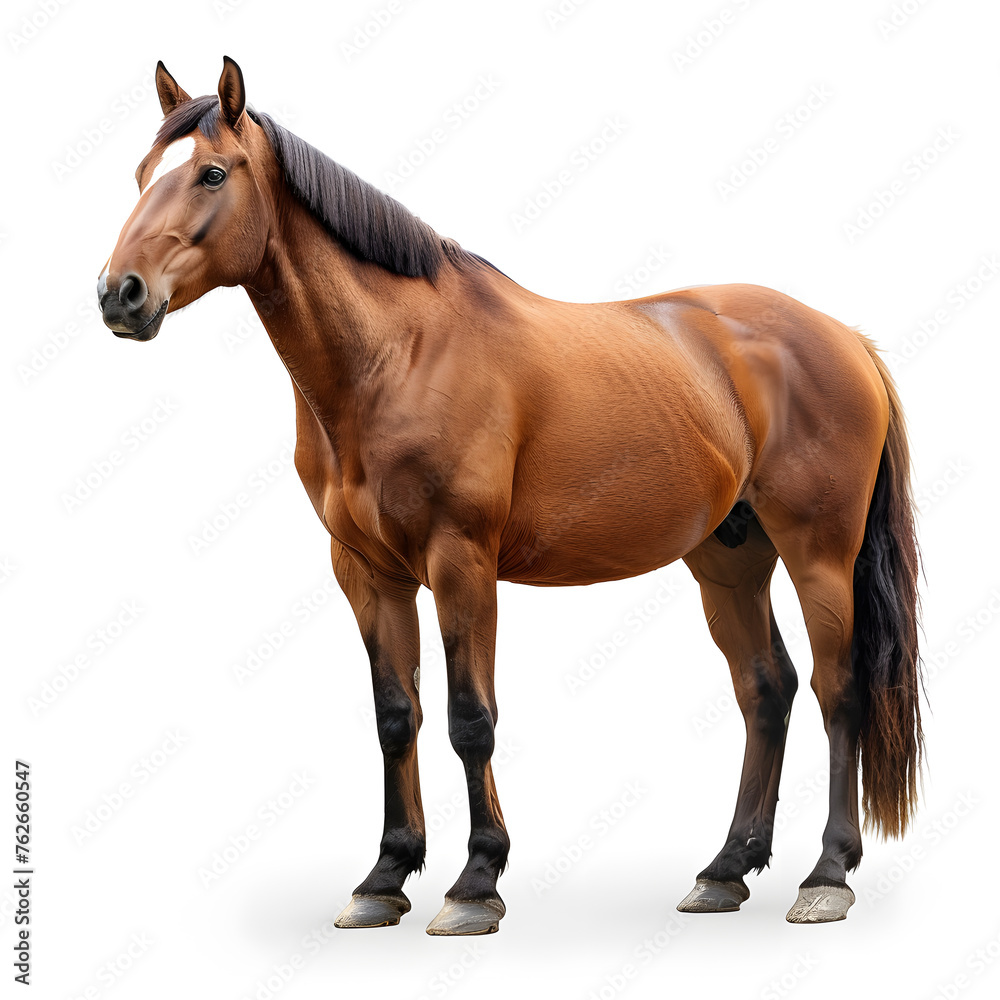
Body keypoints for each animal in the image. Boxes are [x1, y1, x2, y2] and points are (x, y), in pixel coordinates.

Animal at [97, 57, 923, 935]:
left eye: (214, 173)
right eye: (143, 173)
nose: (120, 294)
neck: (398, 353)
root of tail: (844, 338)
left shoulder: (461, 562)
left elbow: (471, 719)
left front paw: (474, 883)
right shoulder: (366, 572)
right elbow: (396, 716)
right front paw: (384, 877)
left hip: (817, 553)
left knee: (840, 692)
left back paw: (827, 873)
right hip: (729, 559)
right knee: (766, 690)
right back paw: (725, 870)